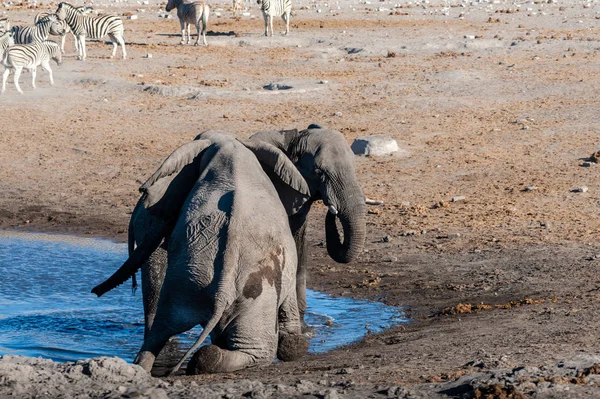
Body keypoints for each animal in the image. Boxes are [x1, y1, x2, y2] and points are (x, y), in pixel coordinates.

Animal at [94, 131, 312, 376]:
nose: (95, 292)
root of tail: (222, 290)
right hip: (223, 287)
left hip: (201, 285)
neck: (231, 146)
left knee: (163, 329)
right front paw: (294, 343)